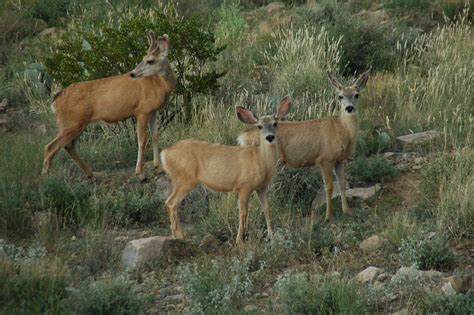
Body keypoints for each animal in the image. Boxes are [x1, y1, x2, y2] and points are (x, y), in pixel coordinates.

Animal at [42, 31, 176, 180]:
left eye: (150, 60)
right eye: (144, 58)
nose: (132, 73)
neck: (159, 85)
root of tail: (55, 100)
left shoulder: (153, 112)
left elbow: (155, 136)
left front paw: (159, 168)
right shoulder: (142, 111)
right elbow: (142, 140)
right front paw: (140, 173)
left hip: (77, 123)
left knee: (68, 146)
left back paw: (91, 174)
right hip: (72, 122)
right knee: (50, 146)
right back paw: (45, 178)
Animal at [161, 97, 290, 246]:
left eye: (275, 123)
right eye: (259, 126)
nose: (269, 137)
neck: (261, 160)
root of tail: (164, 153)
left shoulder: (261, 187)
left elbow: (267, 209)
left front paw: (272, 236)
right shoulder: (244, 186)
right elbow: (243, 212)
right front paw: (239, 241)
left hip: (179, 180)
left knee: (169, 202)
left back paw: (174, 236)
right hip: (186, 179)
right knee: (171, 203)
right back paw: (181, 237)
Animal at [239, 70, 368, 222]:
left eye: (356, 94)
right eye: (340, 96)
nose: (349, 108)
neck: (342, 129)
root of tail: (242, 137)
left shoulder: (339, 160)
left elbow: (342, 184)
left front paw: (347, 211)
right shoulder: (325, 158)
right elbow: (329, 187)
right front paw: (328, 216)